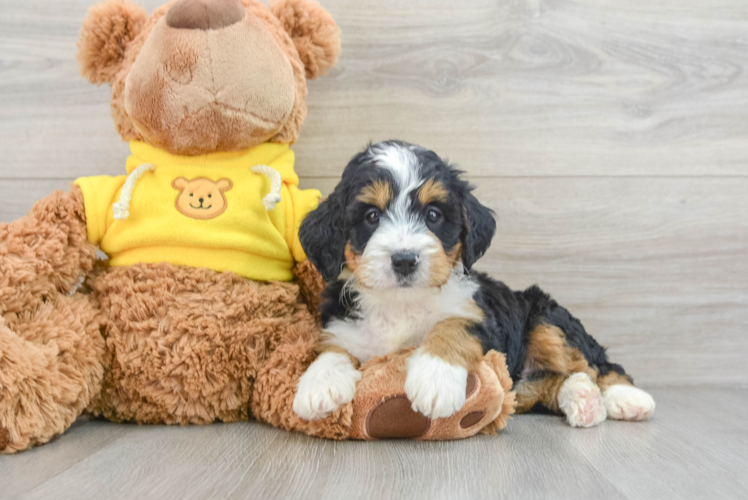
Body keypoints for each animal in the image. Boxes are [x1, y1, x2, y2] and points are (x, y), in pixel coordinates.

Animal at [292, 142, 656, 430]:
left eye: (433, 215)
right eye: (371, 217)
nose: (405, 260)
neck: (402, 302)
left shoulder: (480, 317)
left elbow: (453, 326)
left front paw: (435, 378)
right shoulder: (343, 323)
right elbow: (334, 348)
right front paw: (318, 385)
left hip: (547, 318)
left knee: (598, 364)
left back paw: (626, 398)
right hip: (522, 378)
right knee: (545, 386)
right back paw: (583, 398)